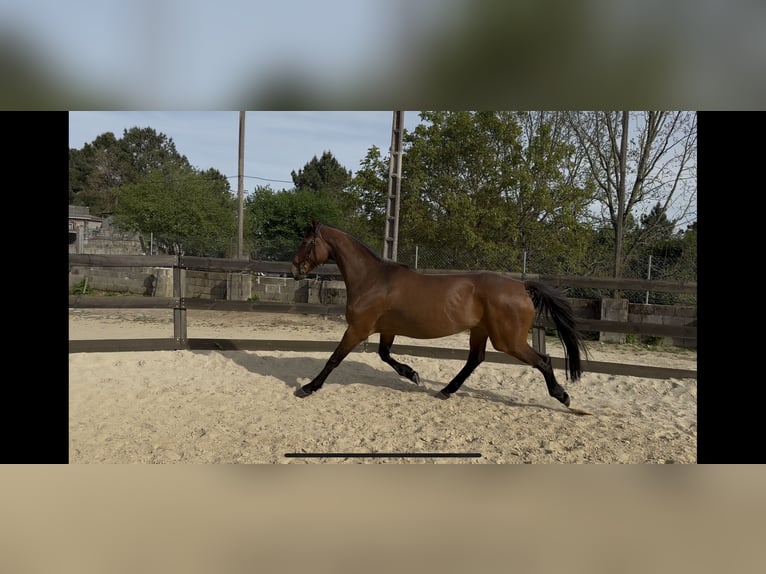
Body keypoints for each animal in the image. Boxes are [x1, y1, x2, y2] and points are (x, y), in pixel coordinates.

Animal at [290, 219, 589, 408]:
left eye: (306, 242)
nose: (294, 269)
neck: (372, 279)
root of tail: (521, 286)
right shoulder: (386, 329)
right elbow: (384, 355)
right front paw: (413, 374)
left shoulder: (357, 329)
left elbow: (334, 359)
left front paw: (307, 388)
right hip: (481, 331)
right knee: (474, 360)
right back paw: (445, 390)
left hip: (508, 340)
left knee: (543, 361)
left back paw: (563, 396)